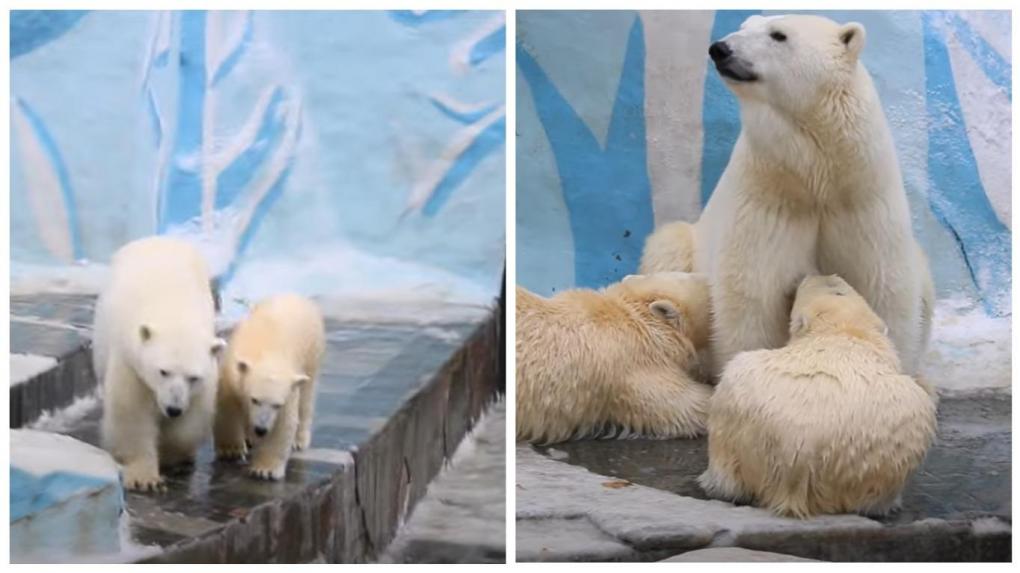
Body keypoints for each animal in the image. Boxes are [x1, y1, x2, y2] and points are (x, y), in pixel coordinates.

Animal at [93, 234, 225, 489]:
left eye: (193, 377)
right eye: (163, 371)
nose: (173, 409)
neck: (174, 311)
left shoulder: (205, 376)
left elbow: (192, 419)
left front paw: (170, 455)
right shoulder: (130, 360)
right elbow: (131, 413)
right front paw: (143, 478)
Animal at [213, 293, 324, 477]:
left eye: (277, 405)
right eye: (254, 399)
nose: (261, 429)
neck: (266, 352)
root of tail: (296, 297)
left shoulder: (288, 389)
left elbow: (283, 424)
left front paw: (265, 470)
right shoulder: (231, 374)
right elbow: (226, 407)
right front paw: (231, 450)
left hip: (312, 352)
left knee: (307, 396)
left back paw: (299, 441)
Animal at [665, 13, 934, 375]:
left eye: (778, 35)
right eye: (744, 25)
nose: (720, 48)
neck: (816, 179)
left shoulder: (863, 205)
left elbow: (883, 290)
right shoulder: (768, 202)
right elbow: (753, 299)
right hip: (686, 241)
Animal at [697, 273, 934, 517]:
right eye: (839, 288)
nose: (821, 274)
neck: (841, 336)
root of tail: (797, 467)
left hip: (737, 412)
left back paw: (714, 483)